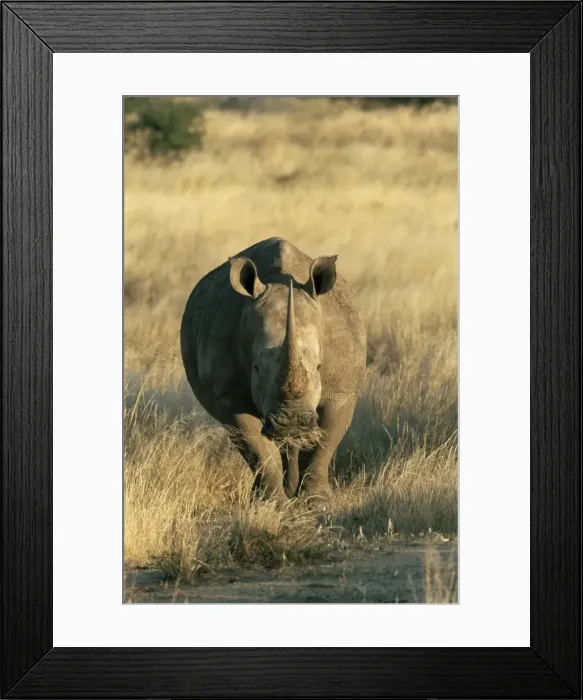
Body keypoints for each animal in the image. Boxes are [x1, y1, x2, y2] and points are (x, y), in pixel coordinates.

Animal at [180, 237, 366, 502]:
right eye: (256, 369)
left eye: (319, 366)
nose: (292, 422)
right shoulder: (230, 395)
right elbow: (258, 450)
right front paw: (271, 503)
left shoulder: (342, 392)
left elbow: (324, 446)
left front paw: (317, 502)